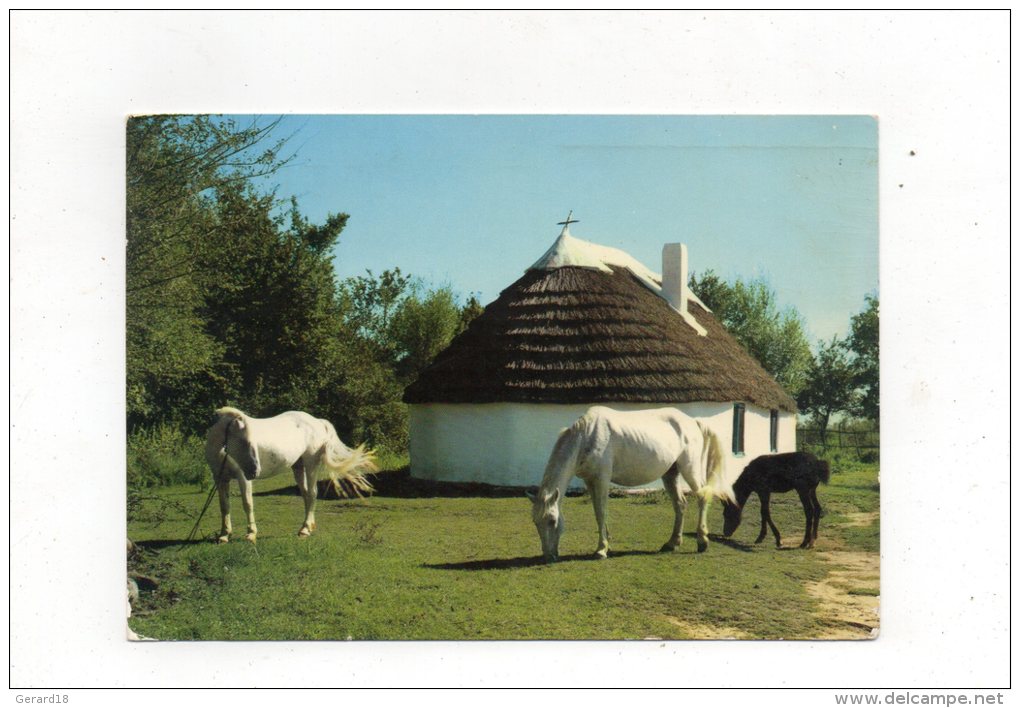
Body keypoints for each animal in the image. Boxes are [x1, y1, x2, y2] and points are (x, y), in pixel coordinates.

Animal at [200, 408, 377, 546]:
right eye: (242, 441)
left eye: (251, 441)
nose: (254, 471)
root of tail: (318, 422)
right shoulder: (220, 479)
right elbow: (224, 506)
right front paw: (224, 535)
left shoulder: (243, 478)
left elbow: (247, 503)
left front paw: (251, 534)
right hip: (298, 467)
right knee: (306, 495)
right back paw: (307, 527)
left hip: (311, 465)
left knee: (312, 494)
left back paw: (305, 530)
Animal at [526, 408, 734, 563]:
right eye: (535, 522)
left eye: (552, 520)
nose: (548, 556)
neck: (587, 437)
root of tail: (693, 422)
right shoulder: (590, 481)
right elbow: (597, 513)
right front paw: (606, 544)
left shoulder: (602, 479)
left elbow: (601, 512)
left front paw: (601, 550)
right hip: (670, 474)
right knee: (680, 504)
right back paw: (672, 543)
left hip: (689, 469)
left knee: (702, 497)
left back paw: (702, 541)